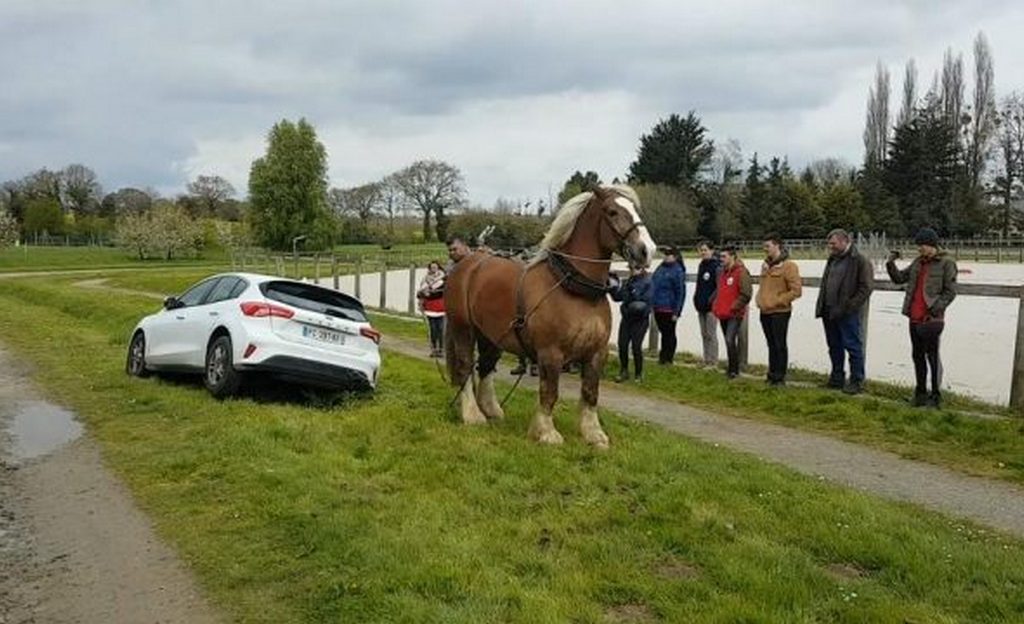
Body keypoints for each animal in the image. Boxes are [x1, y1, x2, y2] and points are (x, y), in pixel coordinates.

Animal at [446, 184, 655, 446]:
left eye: (635, 209)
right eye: (612, 212)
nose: (647, 250)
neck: (574, 290)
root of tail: (466, 263)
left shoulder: (596, 353)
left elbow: (590, 393)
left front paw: (593, 433)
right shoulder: (550, 353)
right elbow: (549, 392)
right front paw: (546, 432)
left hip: (491, 336)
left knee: (485, 367)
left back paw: (491, 410)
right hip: (463, 328)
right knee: (465, 367)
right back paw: (472, 414)